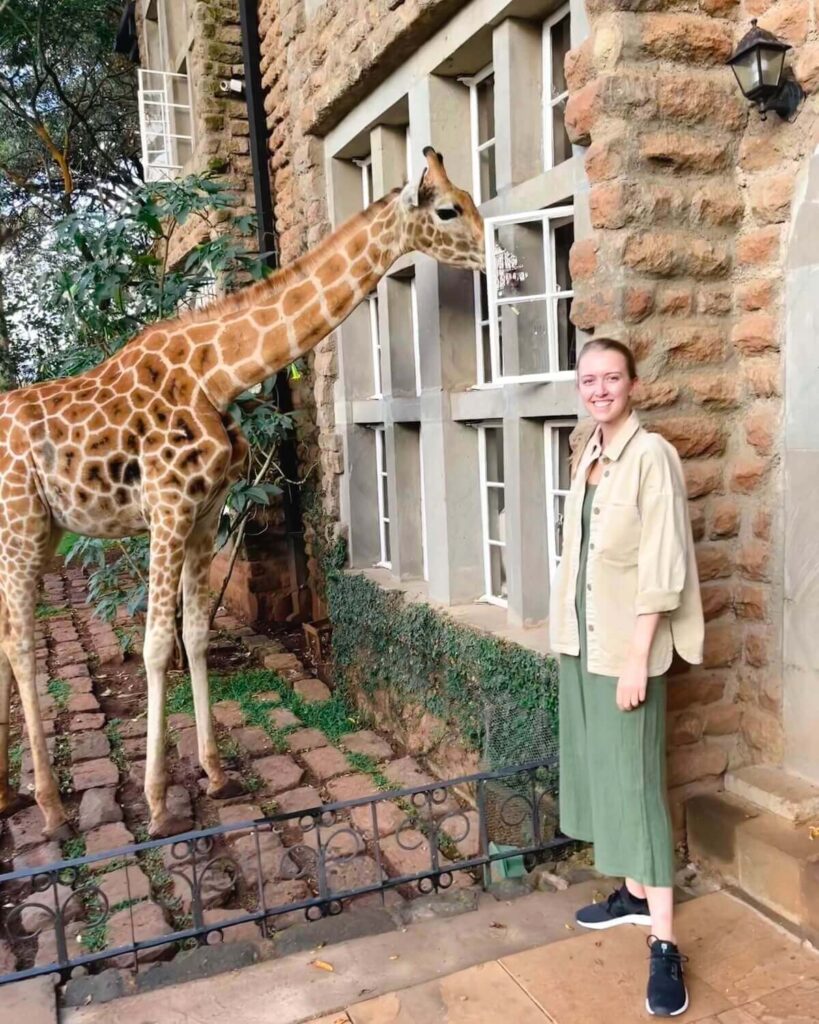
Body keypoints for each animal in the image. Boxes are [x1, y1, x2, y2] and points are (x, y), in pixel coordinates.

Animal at [0, 148, 486, 841]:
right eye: (448, 209)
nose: (497, 252)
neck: (220, 372)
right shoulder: (166, 508)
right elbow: (157, 646)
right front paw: (158, 804)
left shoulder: (204, 513)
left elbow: (197, 634)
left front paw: (214, 773)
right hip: (20, 523)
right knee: (20, 640)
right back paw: (49, 807)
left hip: (42, 530)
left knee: (5, 637)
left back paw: (8, 796)